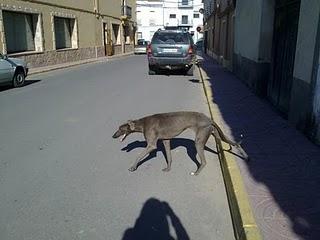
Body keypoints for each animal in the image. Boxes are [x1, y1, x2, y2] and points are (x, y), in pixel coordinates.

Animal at [112, 111, 248, 175]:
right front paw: (168, 168)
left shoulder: (151, 145)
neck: (143, 123)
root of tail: (209, 119)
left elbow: (139, 155)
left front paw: (133, 167)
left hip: (199, 141)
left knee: (204, 161)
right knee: (234, 143)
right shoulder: (166, 141)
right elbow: (169, 157)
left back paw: (196, 173)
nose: (113, 136)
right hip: (214, 134)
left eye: (120, 129)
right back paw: (245, 155)